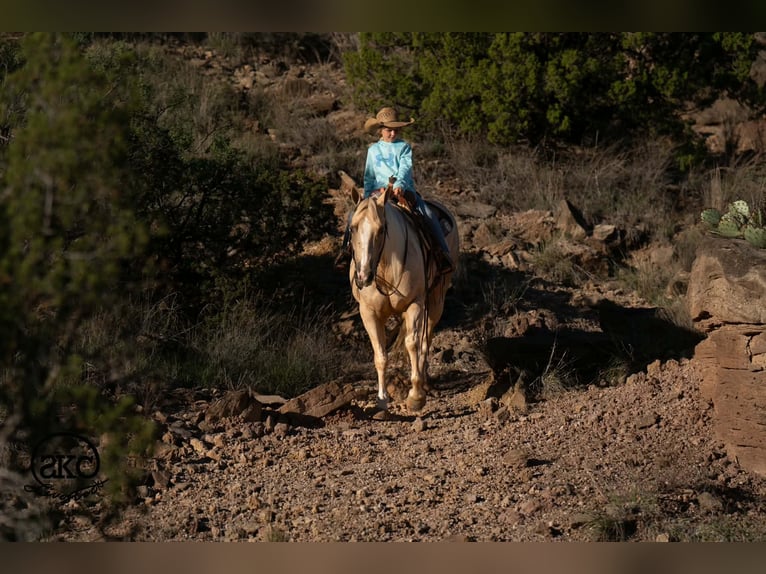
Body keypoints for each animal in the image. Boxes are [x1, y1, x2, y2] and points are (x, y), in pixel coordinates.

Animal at [347, 183, 459, 412]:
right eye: (353, 228)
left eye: (382, 229)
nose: (363, 276)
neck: (385, 267)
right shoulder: (368, 313)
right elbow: (380, 355)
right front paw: (382, 399)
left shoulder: (414, 304)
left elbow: (412, 344)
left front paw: (416, 396)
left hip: (436, 299)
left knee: (425, 340)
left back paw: (424, 382)